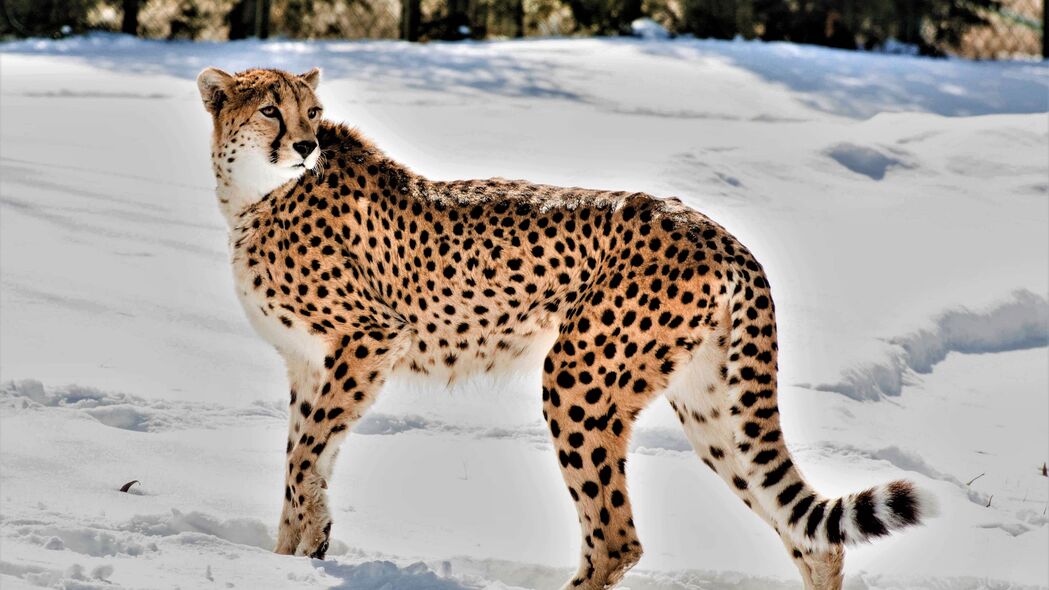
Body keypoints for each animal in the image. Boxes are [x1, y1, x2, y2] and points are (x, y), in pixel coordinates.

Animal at [197, 66, 935, 583]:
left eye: (312, 112)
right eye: (271, 108)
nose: (305, 145)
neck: (256, 195)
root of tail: (713, 229)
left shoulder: (371, 338)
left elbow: (303, 458)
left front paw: (295, 551)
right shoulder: (312, 364)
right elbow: (306, 458)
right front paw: (294, 554)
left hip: (578, 378)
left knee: (616, 539)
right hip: (710, 404)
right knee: (809, 536)